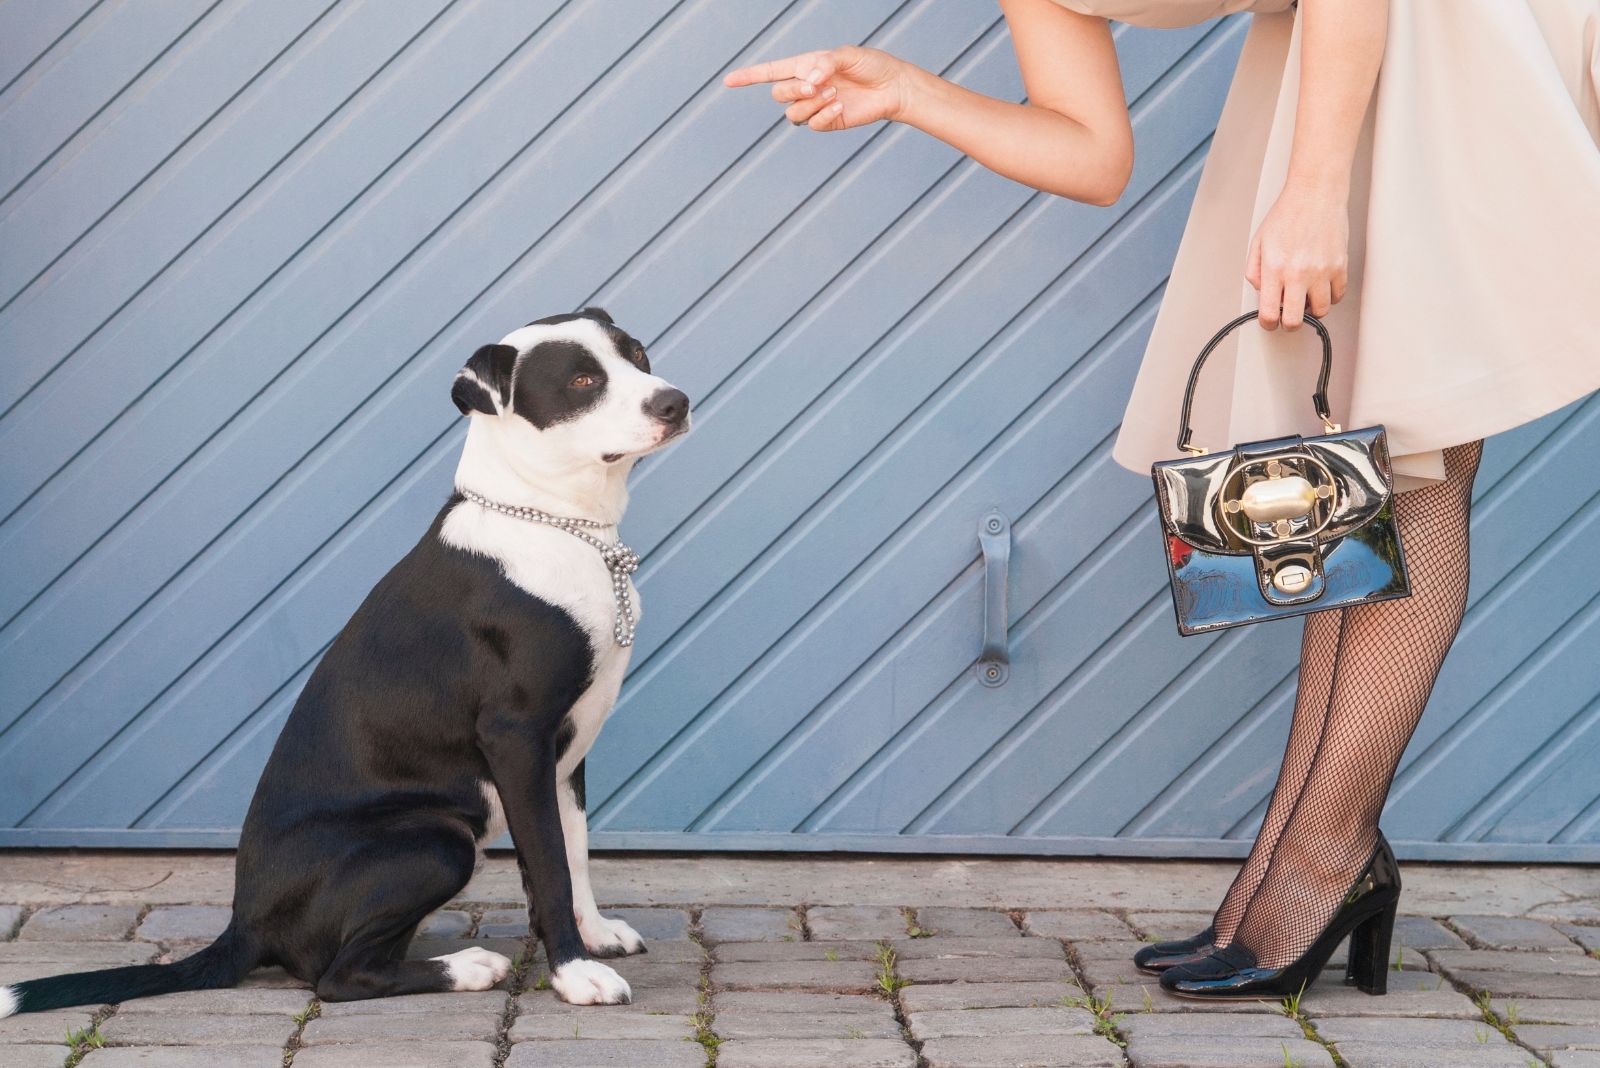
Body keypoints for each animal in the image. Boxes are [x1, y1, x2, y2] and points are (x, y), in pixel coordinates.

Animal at [1, 303, 688, 1016]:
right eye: (581, 382)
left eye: (636, 354)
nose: (676, 402)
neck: (553, 525)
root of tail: (246, 925)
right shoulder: (519, 737)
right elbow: (550, 862)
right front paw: (575, 973)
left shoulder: (565, 749)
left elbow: (573, 850)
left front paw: (594, 936)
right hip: (438, 839)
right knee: (338, 978)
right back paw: (467, 966)